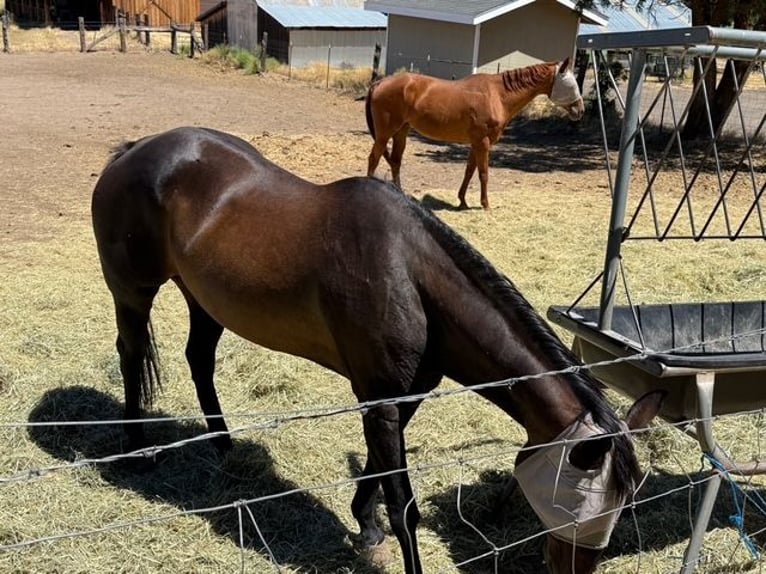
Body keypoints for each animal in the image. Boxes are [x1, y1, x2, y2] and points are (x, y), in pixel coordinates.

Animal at [91, 126, 661, 574]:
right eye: (574, 507)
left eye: (622, 510)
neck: (410, 273)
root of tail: (135, 150)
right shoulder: (382, 398)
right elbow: (403, 503)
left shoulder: (401, 397)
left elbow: (374, 471)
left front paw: (364, 526)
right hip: (132, 291)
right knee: (130, 352)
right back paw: (135, 448)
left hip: (204, 299)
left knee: (199, 359)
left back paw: (224, 444)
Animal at [365, 58, 585, 210]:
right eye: (571, 84)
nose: (580, 110)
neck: (497, 95)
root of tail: (380, 83)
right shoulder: (483, 142)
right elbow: (483, 173)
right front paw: (485, 204)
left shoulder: (475, 143)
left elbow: (469, 171)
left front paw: (462, 201)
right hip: (385, 133)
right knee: (374, 158)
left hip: (401, 132)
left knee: (395, 161)